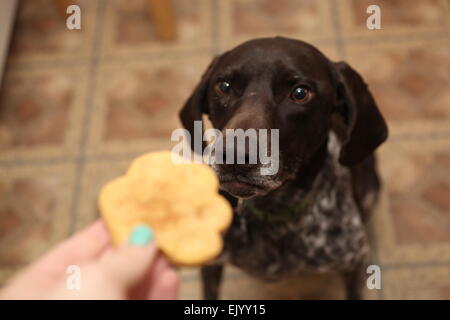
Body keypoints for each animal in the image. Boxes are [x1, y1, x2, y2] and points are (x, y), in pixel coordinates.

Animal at [178, 37, 388, 300]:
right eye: (224, 86)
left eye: (300, 93)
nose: (236, 155)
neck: (273, 211)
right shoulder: (211, 263)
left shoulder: (351, 264)